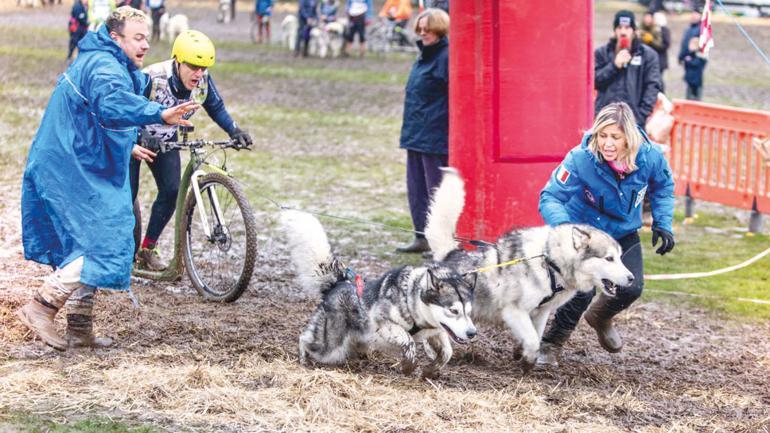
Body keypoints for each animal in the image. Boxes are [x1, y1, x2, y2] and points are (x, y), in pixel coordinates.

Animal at [280, 210, 476, 378]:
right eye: (453, 311)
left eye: (468, 312)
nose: (472, 333)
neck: (411, 299)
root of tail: (338, 283)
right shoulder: (386, 325)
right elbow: (409, 342)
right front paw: (408, 366)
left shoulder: (435, 332)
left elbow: (447, 353)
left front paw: (430, 370)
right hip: (329, 344)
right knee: (305, 339)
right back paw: (303, 359)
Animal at [424, 167, 632, 370]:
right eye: (609, 258)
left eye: (620, 257)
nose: (632, 278)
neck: (550, 264)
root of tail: (451, 253)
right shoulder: (514, 311)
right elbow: (532, 340)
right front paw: (527, 361)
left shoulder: (541, 311)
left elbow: (537, 337)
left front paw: (521, 352)